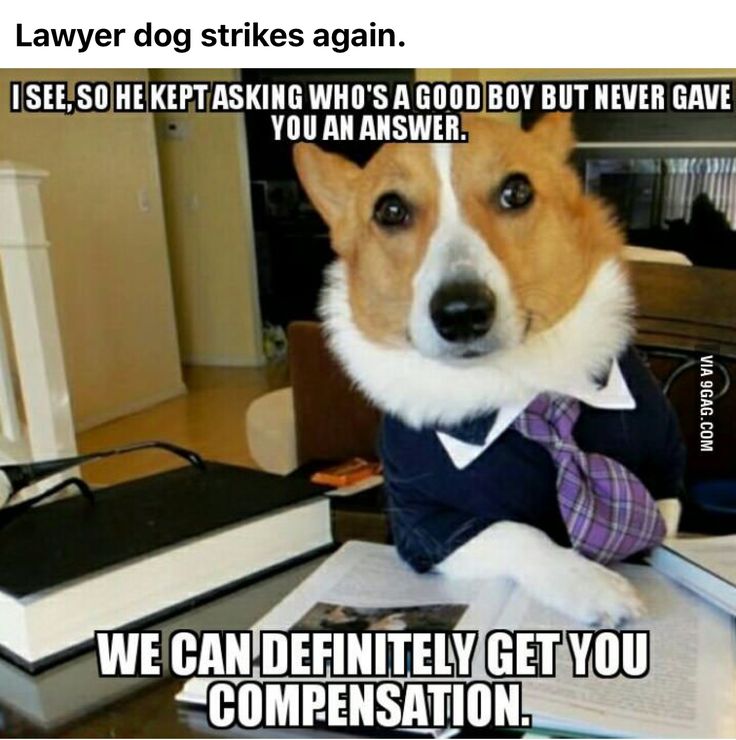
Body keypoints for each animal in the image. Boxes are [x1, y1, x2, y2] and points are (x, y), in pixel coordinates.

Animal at [294, 114, 684, 624]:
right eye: (390, 210)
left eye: (516, 192)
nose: (461, 312)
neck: (519, 383)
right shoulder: (428, 522)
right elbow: (518, 532)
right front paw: (591, 583)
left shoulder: (667, 481)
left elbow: (664, 531)